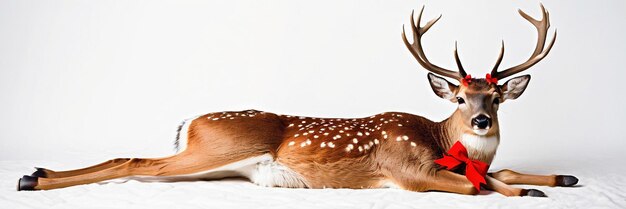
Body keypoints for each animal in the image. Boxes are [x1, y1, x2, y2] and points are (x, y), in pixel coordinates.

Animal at [18, 4, 576, 198]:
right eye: (459, 96)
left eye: (497, 96)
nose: (480, 121)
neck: (443, 141)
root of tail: (189, 121)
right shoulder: (405, 167)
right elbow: (476, 186)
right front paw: (528, 191)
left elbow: (498, 172)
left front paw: (559, 178)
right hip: (218, 146)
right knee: (132, 159)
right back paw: (32, 179)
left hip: (213, 164)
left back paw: (36, 173)